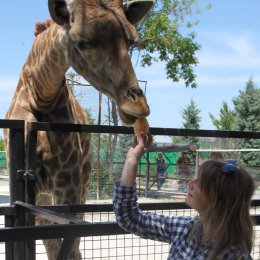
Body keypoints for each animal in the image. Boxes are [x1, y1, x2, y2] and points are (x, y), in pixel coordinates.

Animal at [4, 0, 151, 258]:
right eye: (82, 42)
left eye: (132, 41)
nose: (137, 105)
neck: (41, 94)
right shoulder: (25, 187)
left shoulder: (68, 186)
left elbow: (68, 246)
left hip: (82, 185)